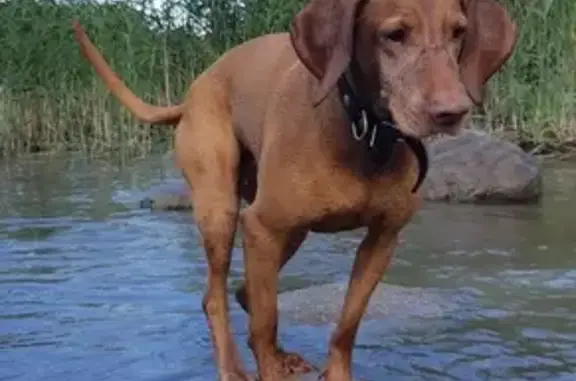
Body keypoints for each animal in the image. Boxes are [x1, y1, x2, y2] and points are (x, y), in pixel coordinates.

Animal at [72, 0, 516, 378]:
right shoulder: (261, 227)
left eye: (459, 32)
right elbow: (265, 325)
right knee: (217, 298)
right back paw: (232, 368)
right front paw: (266, 365)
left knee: (245, 291)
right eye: (394, 34)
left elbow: (347, 324)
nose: (451, 112)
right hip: (224, 211)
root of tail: (192, 93)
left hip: (289, 232)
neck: (362, 131)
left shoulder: (382, 239)